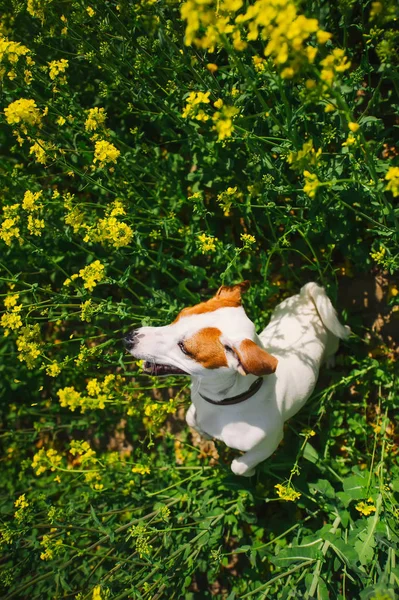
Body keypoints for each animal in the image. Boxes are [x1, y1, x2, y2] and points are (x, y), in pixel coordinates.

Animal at [126, 282, 350, 478]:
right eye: (179, 316)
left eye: (184, 348)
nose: (128, 337)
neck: (224, 403)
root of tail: (306, 300)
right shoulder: (196, 409)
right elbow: (191, 419)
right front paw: (206, 434)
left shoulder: (270, 442)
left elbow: (238, 466)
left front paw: (250, 472)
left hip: (332, 338)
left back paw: (330, 361)